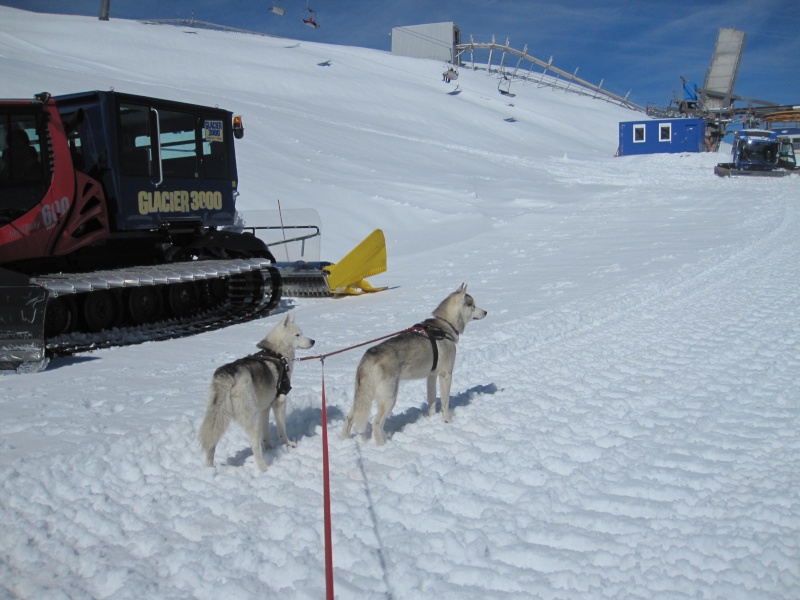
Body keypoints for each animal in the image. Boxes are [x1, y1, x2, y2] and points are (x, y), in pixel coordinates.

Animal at [198, 312, 314, 472]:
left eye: (302, 333)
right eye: (298, 334)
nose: (313, 341)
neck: (277, 353)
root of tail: (229, 374)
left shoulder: (264, 408)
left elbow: (266, 434)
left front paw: (270, 448)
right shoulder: (279, 402)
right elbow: (282, 431)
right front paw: (288, 444)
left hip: (219, 417)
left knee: (211, 443)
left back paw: (209, 469)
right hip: (251, 419)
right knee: (254, 447)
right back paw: (265, 468)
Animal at [340, 284, 484, 446]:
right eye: (472, 305)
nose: (486, 312)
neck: (444, 326)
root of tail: (369, 356)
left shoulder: (431, 376)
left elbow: (431, 402)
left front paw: (431, 419)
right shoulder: (446, 375)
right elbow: (445, 403)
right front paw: (448, 421)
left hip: (363, 397)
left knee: (349, 417)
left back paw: (343, 440)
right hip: (389, 398)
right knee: (376, 424)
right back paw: (383, 446)